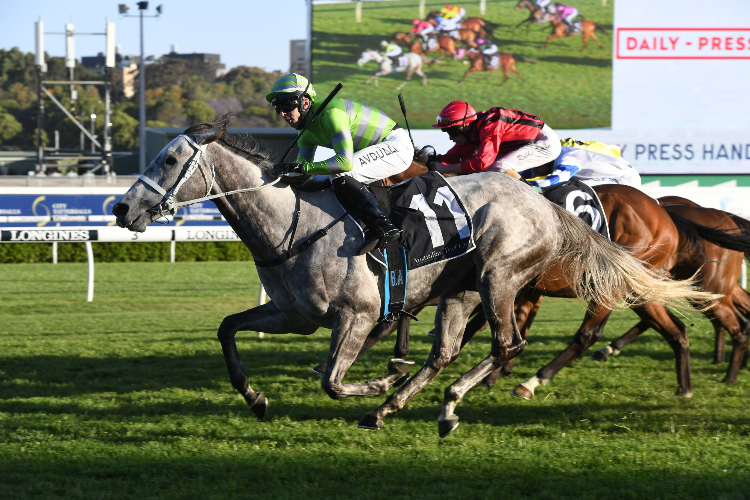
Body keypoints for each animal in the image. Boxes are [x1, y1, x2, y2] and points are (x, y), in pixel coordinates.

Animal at [110, 115, 716, 436]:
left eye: (170, 161)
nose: (120, 209)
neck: (292, 224)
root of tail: (548, 207)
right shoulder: (292, 314)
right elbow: (228, 328)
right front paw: (255, 396)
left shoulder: (354, 316)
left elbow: (333, 380)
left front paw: (375, 380)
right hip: (461, 289)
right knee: (446, 350)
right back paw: (406, 406)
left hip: (499, 277)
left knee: (509, 343)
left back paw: (450, 399)